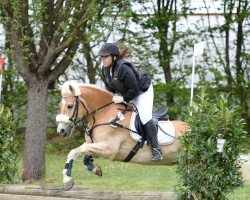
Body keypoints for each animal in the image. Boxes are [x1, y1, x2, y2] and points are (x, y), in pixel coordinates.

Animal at [56, 81, 189, 191]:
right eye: (59, 106)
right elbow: (75, 152)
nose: (61, 130)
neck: (104, 113)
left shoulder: (110, 149)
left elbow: (82, 150)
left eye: (69, 106)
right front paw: (69, 179)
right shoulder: (94, 144)